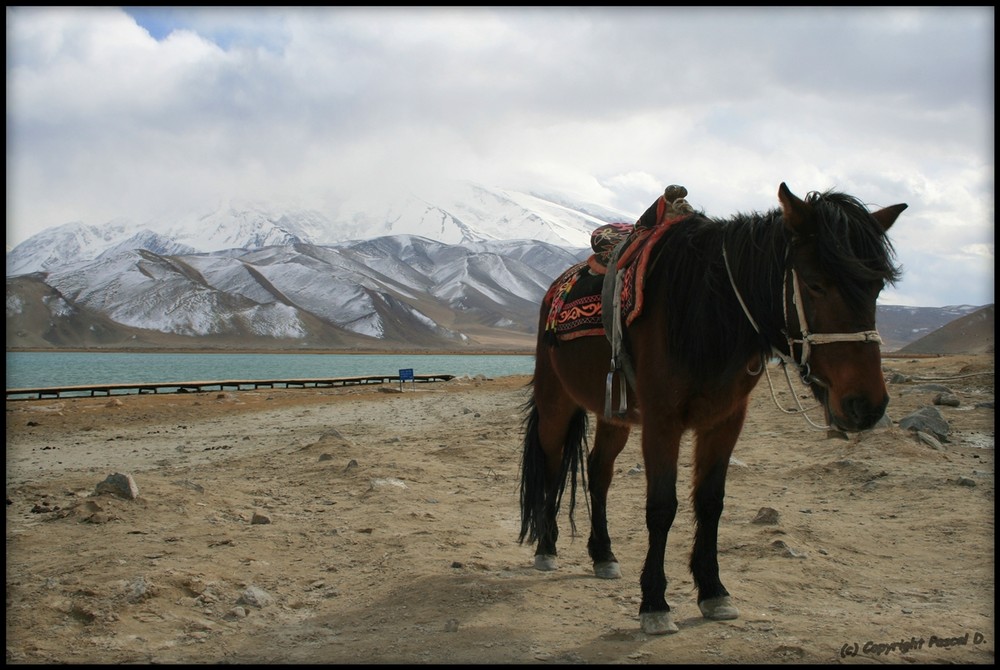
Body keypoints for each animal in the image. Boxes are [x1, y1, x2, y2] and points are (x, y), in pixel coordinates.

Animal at [520, 184, 912, 636]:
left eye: (876, 288)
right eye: (816, 284)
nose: (867, 405)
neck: (704, 310)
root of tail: (552, 292)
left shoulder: (726, 420)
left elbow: (710, 502)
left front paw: (713, 592)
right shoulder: (662, 421)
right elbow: (662, 507)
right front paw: (655, 604)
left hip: (613, 414)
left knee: (598, 471)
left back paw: (603, 555)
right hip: (556, 402)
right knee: (551, 467)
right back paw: (547, 548)